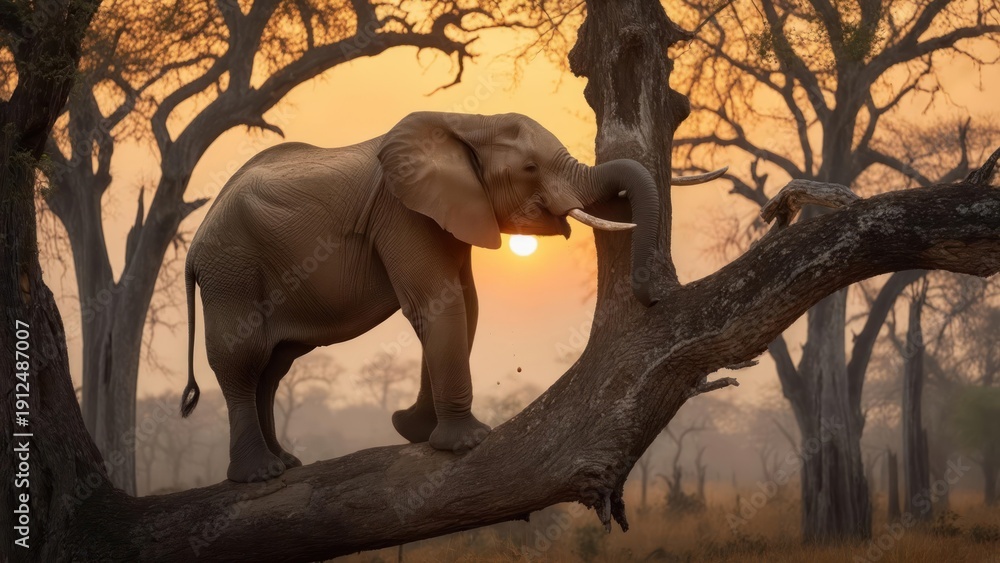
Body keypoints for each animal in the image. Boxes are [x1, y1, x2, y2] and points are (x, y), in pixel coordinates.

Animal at [179, 111, 724, 482]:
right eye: (530, 167)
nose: (652, 295)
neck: (467, 123)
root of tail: (194, 245)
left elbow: (466, 304)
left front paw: (412, 430)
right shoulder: (402, 214)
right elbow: (439, 304)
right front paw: (465, 443)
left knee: (274, 367)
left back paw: (286, 464)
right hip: (232, 272)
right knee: (244, 359)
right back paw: (260, 474)